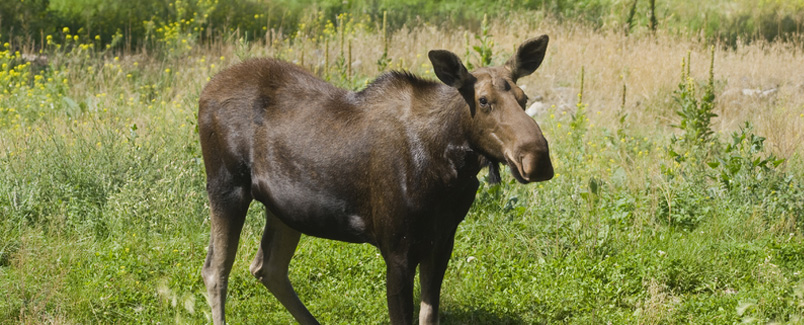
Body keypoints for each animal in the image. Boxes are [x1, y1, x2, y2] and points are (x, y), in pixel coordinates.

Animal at [198, 34, 556, 322]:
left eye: (524, 98)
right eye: (483, 101)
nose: (537, 158)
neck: (450, 171)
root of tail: (206, 90)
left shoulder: (442, 242)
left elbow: (430, 314)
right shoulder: (397, 249)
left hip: (285, 208)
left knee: (267, 267)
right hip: (226, 186)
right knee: (216, 270)